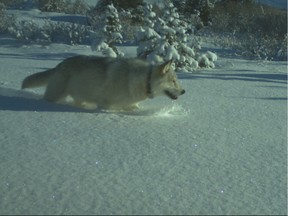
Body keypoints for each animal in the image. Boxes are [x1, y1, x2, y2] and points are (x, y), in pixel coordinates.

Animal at [21, 55, 186, 110]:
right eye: (173, 81)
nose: (184, 91)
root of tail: (59, 65)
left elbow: (133, 107)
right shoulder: (104, 105)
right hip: (55, 96)